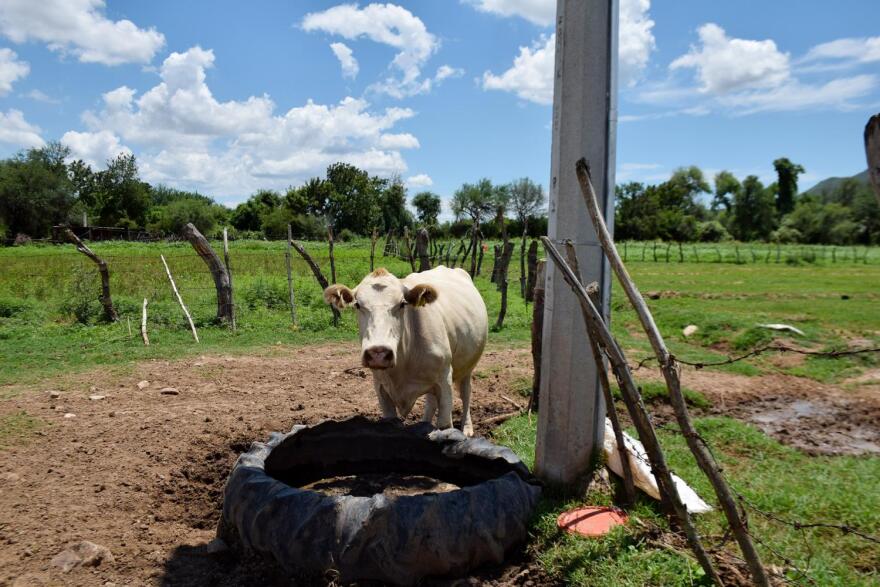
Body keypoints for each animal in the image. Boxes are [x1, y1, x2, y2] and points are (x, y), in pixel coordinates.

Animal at [323, 266, 488, 436]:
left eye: (402, 304)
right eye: (357, 305)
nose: (378, 352)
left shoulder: (444, 378)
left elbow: (444, 424)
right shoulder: (381, 386)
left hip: (468, 366)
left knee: (466, 393)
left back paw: (467, 427)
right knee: (431, 400)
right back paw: (424, 423)